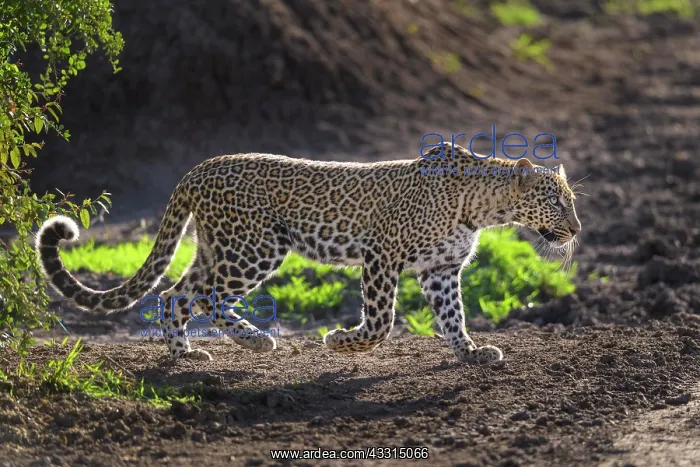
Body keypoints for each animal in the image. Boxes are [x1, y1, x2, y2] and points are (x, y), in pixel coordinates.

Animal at [36, 142, 581, 364]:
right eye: (557, 201)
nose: (576, 228)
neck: (483, 207)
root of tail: (197, 169)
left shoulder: (442, 270)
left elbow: (454, 317)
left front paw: (471, 354)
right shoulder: (381, 255)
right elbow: (381, 322)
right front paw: (341, 343)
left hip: (217, 249)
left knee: (175, 295)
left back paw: (186, 354)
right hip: (257, 247)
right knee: (208, 297)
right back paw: (256, 342)